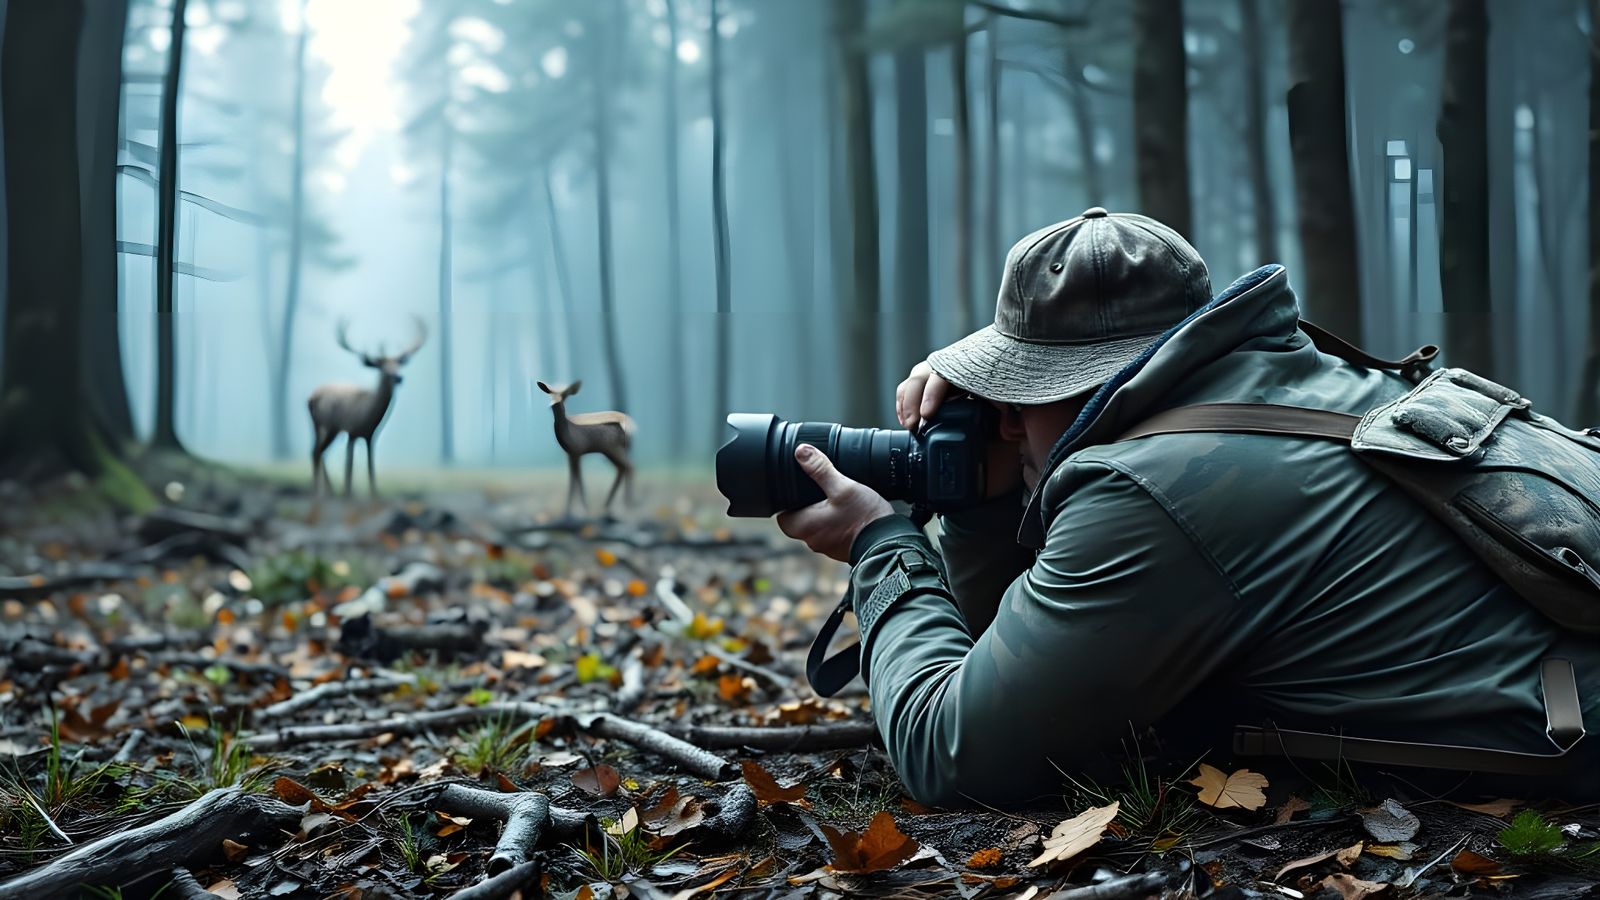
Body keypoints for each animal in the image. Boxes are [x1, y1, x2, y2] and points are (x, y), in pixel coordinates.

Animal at [308, 317, 427, 498]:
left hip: (324, 427)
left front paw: (373, 493)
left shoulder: (370, 436)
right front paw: (348, 493)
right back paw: (319, 492)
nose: (398, 377)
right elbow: (349, 468)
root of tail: (311, 397)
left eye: (398, 364)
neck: (367, 416)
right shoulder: (351, 430)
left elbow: (371, 468)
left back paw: (330, 491)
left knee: (319, 451)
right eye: (382, 368)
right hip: (327, 425)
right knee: (317, 452)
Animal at [536, 380, 635, 520]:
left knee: (630, 468)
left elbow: (579, 479)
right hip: (610, 453)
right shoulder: (570, 455)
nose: (552, 404)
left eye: (565, 395)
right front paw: (568, 511)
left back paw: (627, 506)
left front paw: (582, 509)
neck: (569, 429)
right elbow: (573, 480)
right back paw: (610, 505)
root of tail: (630, 428)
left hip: (614, 451)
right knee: (623, 469)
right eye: (550, 394)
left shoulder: (577, 453)